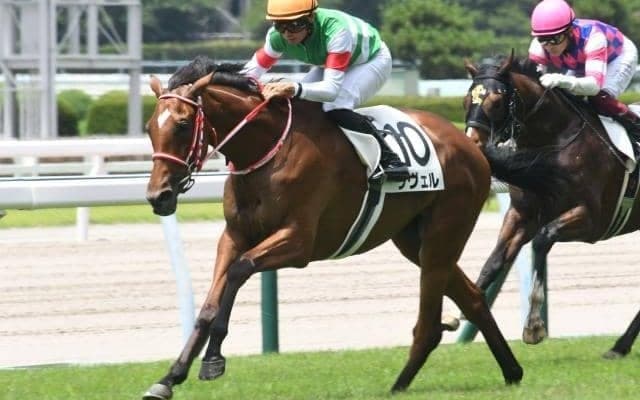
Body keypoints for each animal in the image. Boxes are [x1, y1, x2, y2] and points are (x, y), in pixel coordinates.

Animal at [141, 56, 522, 399]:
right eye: (149, 128)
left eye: (182, 124)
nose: (158, 196)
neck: (269, 149)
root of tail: (470, 145)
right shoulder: (234, 236)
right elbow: (210, 303)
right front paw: (169, 377)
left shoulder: (298, 242)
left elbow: (238, 271)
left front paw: (213, 360)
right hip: (415, 240)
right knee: (472, 297)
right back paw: (512, 372)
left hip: (444, 232)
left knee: (430, 322)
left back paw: (399, 385)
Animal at [462, 52, 640, 359]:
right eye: (466, 100)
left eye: (495, 101)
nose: (471, 143)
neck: (556, 143)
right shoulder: (522, 214)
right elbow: (495, 260)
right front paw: (452, 315)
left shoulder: (592, 221)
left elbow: (543, 240)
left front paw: (533, 327)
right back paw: (620, 346)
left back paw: (620, 345)